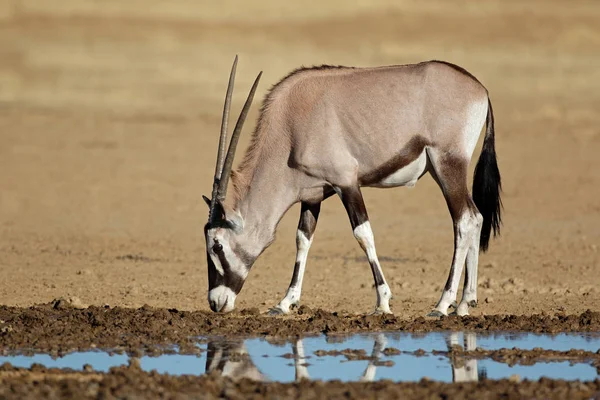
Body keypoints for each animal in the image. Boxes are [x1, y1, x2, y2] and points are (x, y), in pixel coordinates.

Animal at [203, 56, 502, 318]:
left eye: (217, 245)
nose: (216, 303)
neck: (290, 129)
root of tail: (481, 89)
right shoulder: (312, 195)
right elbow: (303, 238)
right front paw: (285, 302)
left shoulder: (346, 183)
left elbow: (363, 234)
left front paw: (383, 302)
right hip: (443, 170)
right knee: (476, 217)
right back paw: (465, 303)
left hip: (447, 165)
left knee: (464, 220)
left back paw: (443, 304)